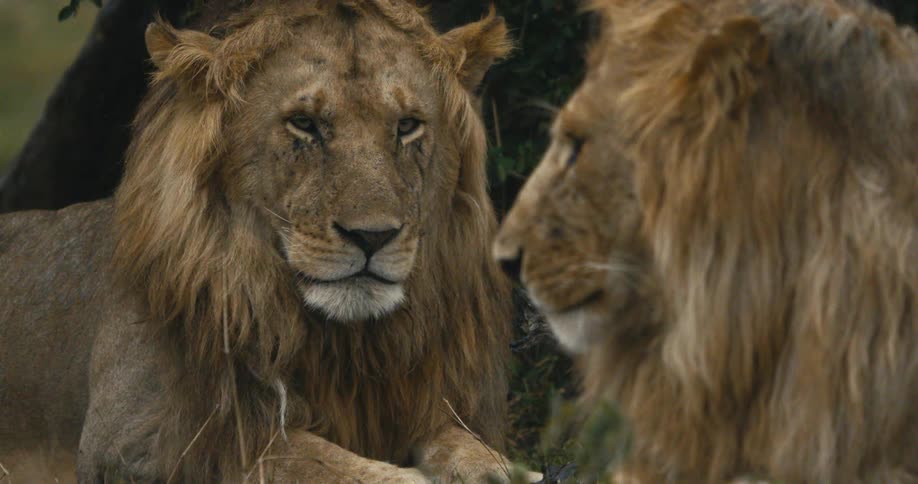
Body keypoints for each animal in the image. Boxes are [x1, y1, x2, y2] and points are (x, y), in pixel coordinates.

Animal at [0, 1, 533, 482]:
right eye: (304, 123)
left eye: (406, 126)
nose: (372, 236)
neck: (342, 344)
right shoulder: (133, 440)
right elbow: (302, 458)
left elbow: (463, 440)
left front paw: (495, 467)